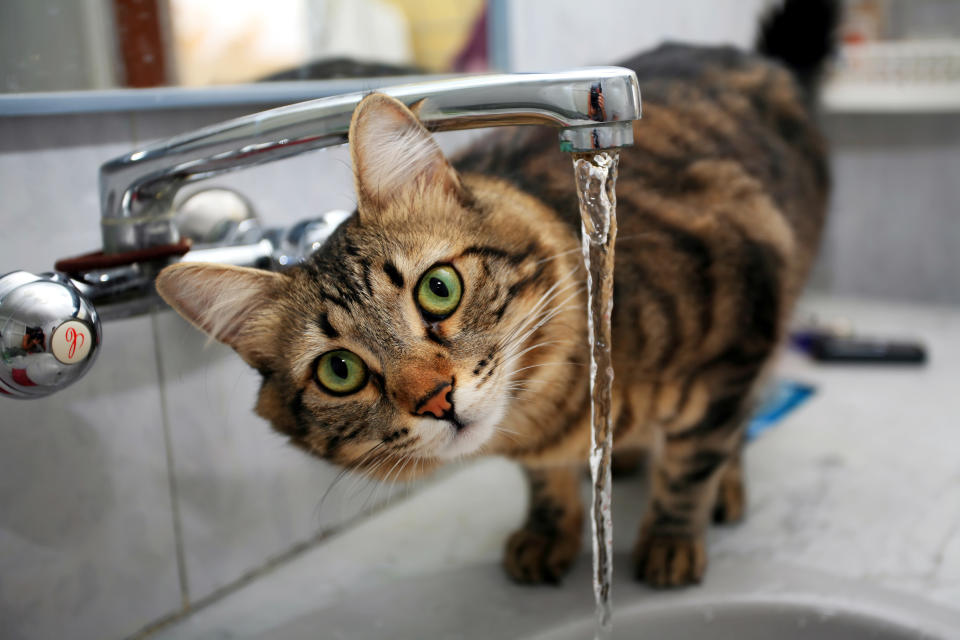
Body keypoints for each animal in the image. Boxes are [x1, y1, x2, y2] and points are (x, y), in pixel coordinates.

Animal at [154, 0, 836, 588]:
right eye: (339, 371)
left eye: (439, 289)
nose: (435, 398)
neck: (554, 415)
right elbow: (546, 482)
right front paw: (549, 530)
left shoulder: (746, 320)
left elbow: (693, 462)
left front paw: (670, 539)